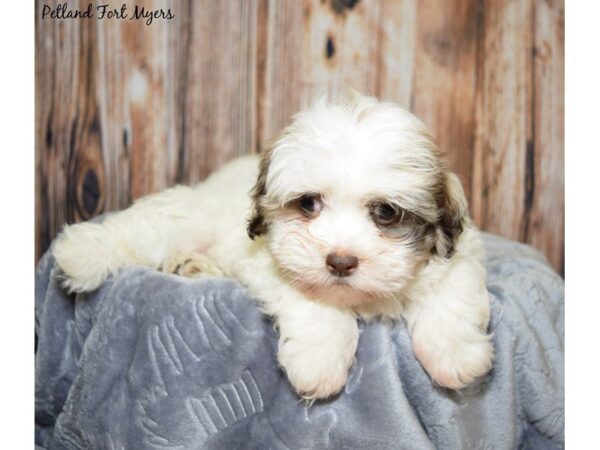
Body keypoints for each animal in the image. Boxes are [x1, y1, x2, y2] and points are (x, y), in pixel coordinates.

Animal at [52, 91, 492, 398]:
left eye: (386, 212)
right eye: (308, 204)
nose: (340, 261)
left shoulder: (458, 256)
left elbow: (452, 296)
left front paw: (455, 354)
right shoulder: (273, 262)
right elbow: (314, 303)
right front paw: (320, 360)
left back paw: (192, 267)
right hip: (187, 218)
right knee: (142, 228)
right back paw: (81, 251)